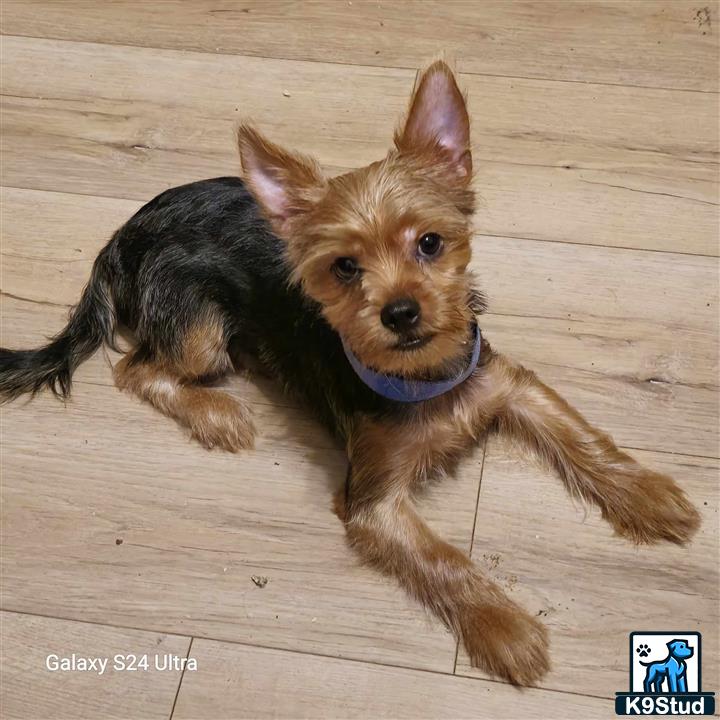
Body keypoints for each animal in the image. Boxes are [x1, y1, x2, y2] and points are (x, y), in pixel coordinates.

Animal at [0, 60, 696, 680]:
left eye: (430, 243)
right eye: (344, 267)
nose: (401, 312)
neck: (419, 374)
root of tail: (122, 235)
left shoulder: (506, 384)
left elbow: (581, 435)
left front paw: (650, 496)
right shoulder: (374, 500)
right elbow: (443, 559)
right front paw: (507, 630)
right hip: (197, 325)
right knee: (139, 369)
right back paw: (219, 414)